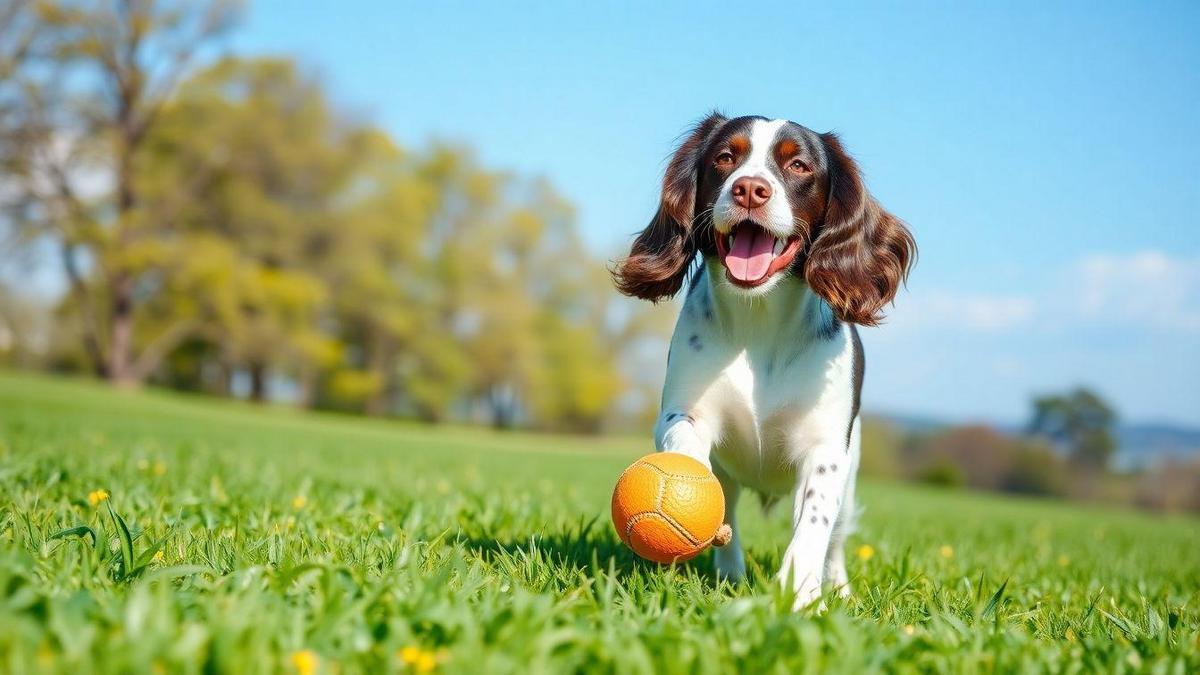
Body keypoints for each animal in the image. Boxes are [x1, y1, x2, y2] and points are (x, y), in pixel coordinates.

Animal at [614, 112, 912, 607]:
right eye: (724, 157)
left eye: (798, 165)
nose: (750, 189)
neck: (760, 321)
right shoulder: (683, 413)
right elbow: (688, 448)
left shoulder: (825, 449)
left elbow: (814, 522)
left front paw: (801, 593)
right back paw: (730, 574)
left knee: (836, 537)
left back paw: (839, 588)